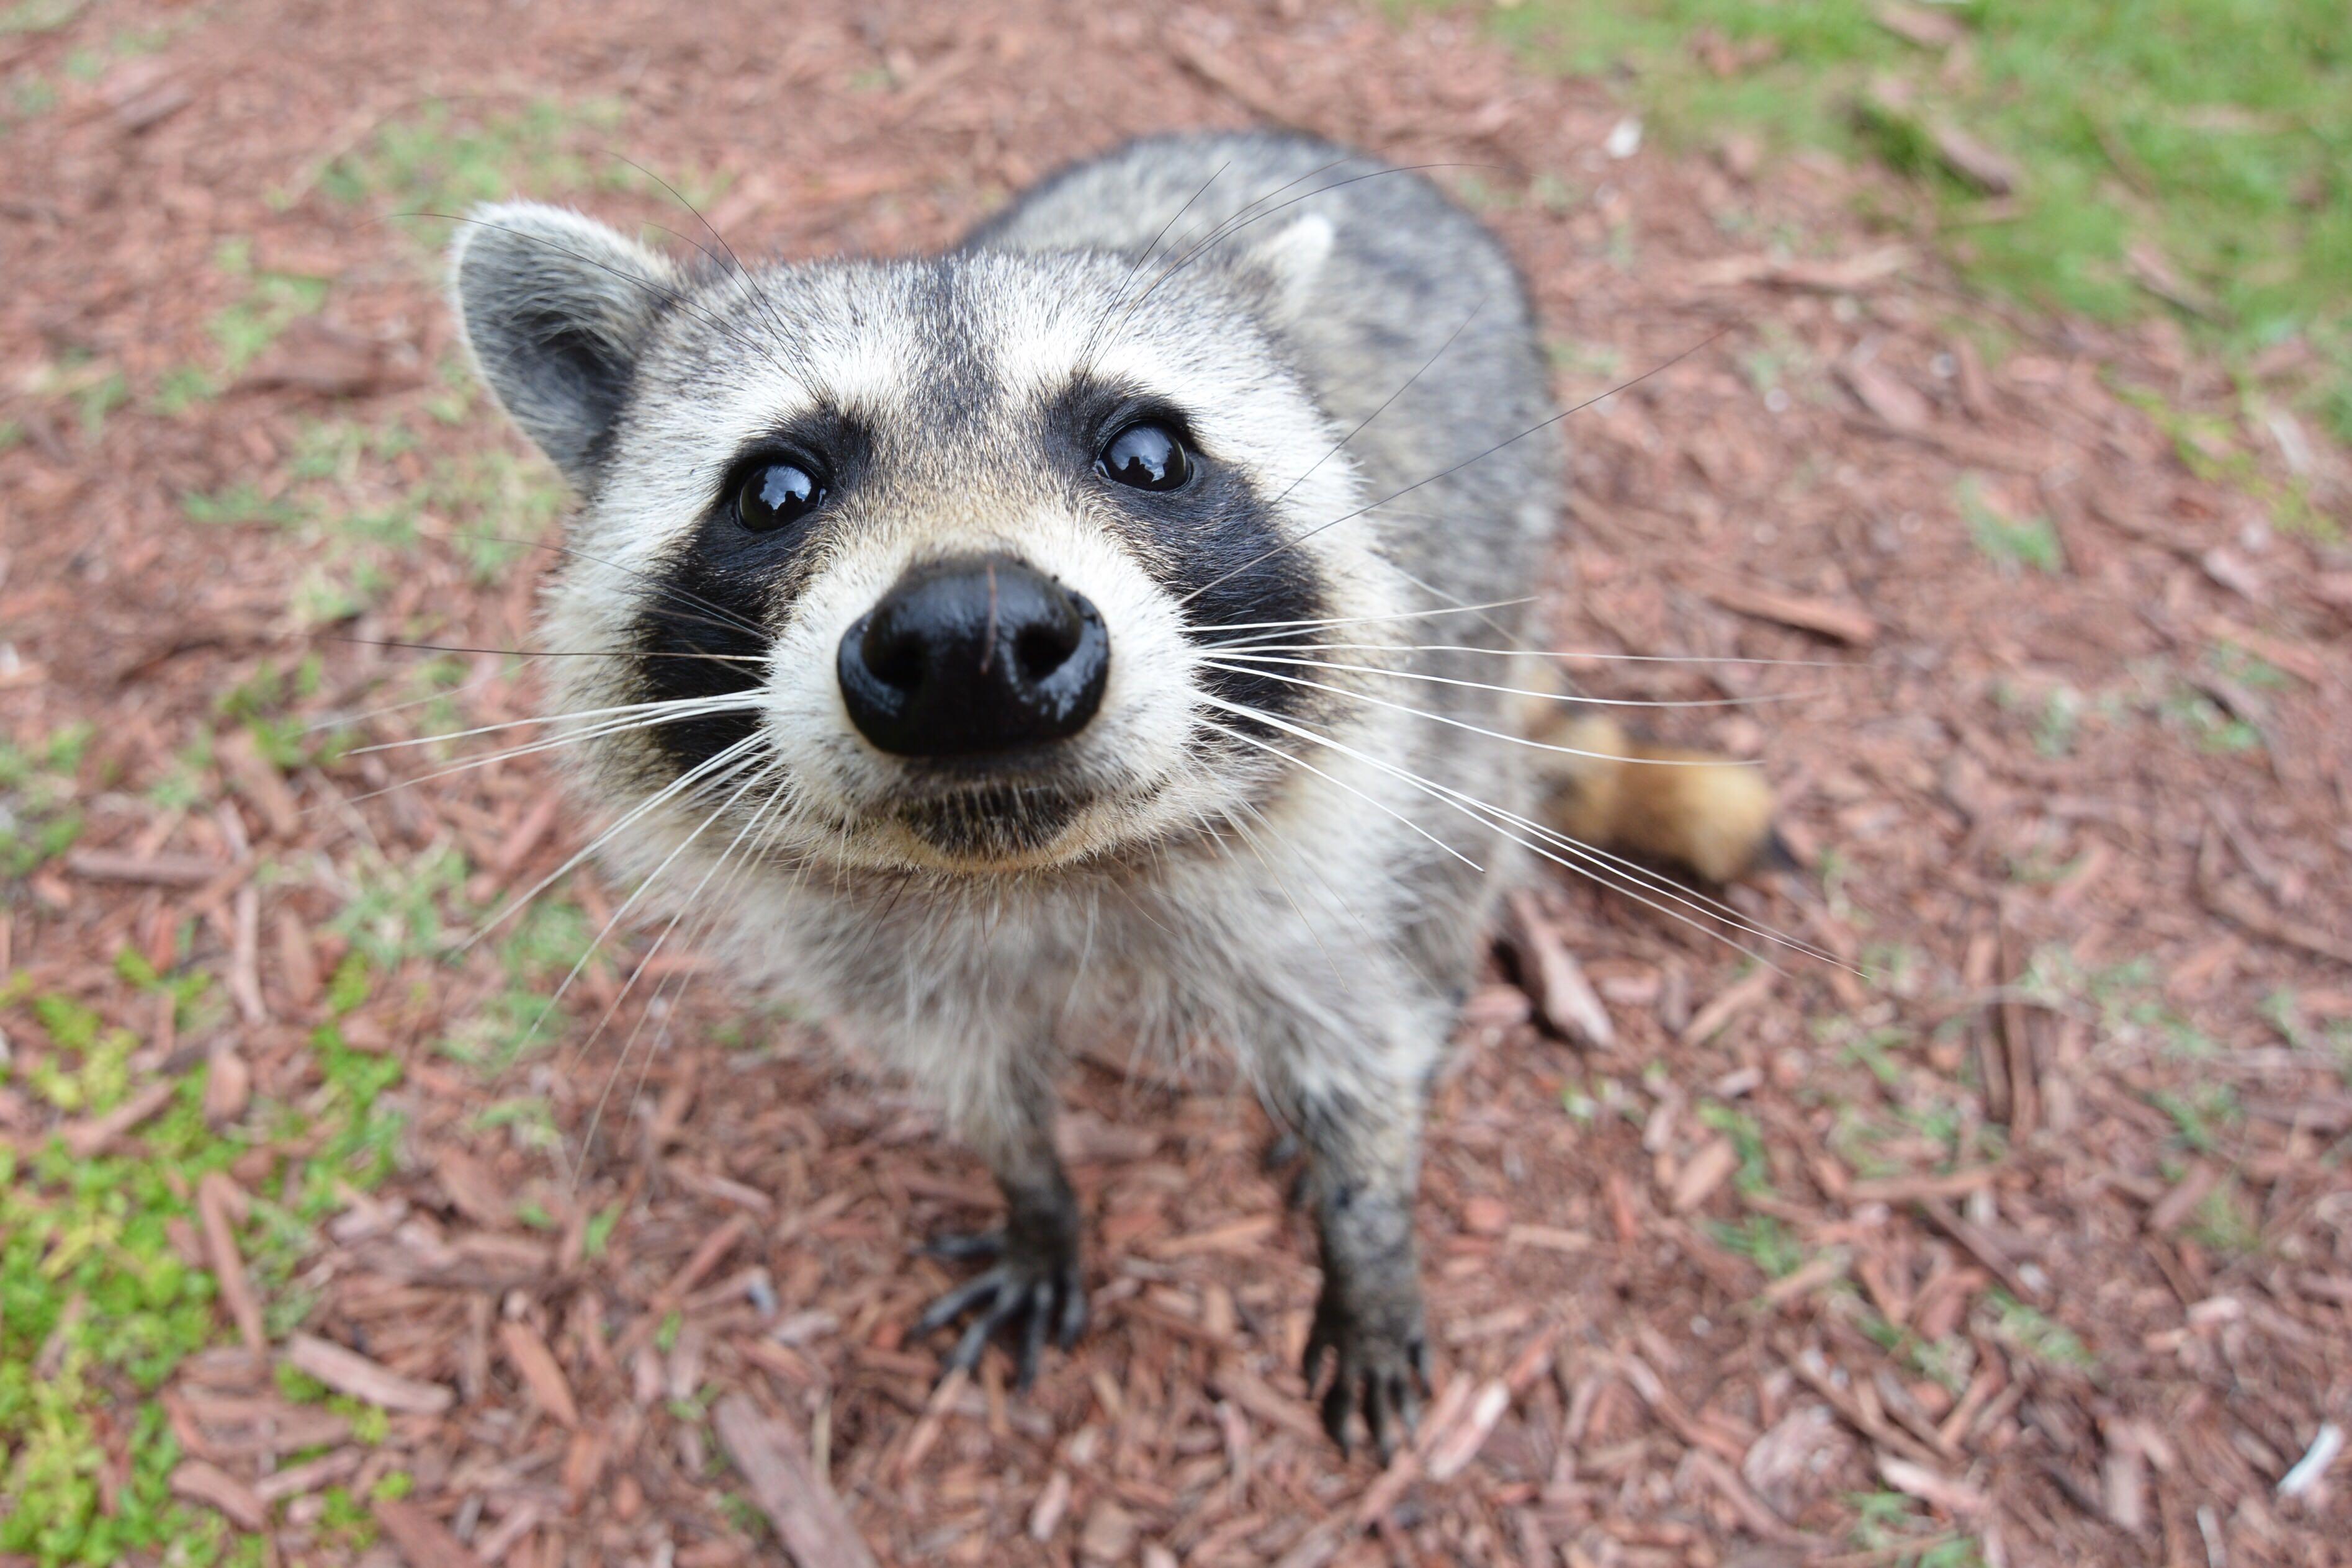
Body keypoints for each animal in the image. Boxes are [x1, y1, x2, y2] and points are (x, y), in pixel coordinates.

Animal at [449, 132, 1769, 1457]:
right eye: (775, 490)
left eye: (1148, 455)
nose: (971, 640)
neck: (1032, 871)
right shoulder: (876, 953)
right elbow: (975, 1077)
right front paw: (1036, 1193)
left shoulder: (1333, 836)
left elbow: (1352, 1023)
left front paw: (1370, 1225)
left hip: (1486, 610)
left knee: (1452, 851)